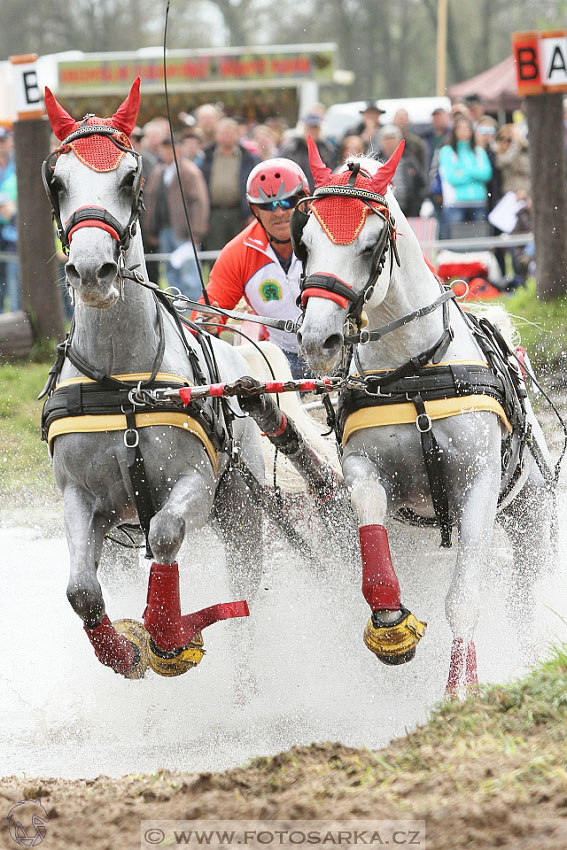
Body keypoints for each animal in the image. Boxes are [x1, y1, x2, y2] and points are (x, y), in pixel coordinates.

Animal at [296, 136, 552, 696]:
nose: (317, 339)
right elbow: (374, 548)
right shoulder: (367, 474)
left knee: (524, 594)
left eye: (371, 246)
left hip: (530, 518)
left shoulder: (478, 484)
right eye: (303, 243)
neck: (413, 374)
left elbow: (464, 600)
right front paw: (391, 626)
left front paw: (460, 690)